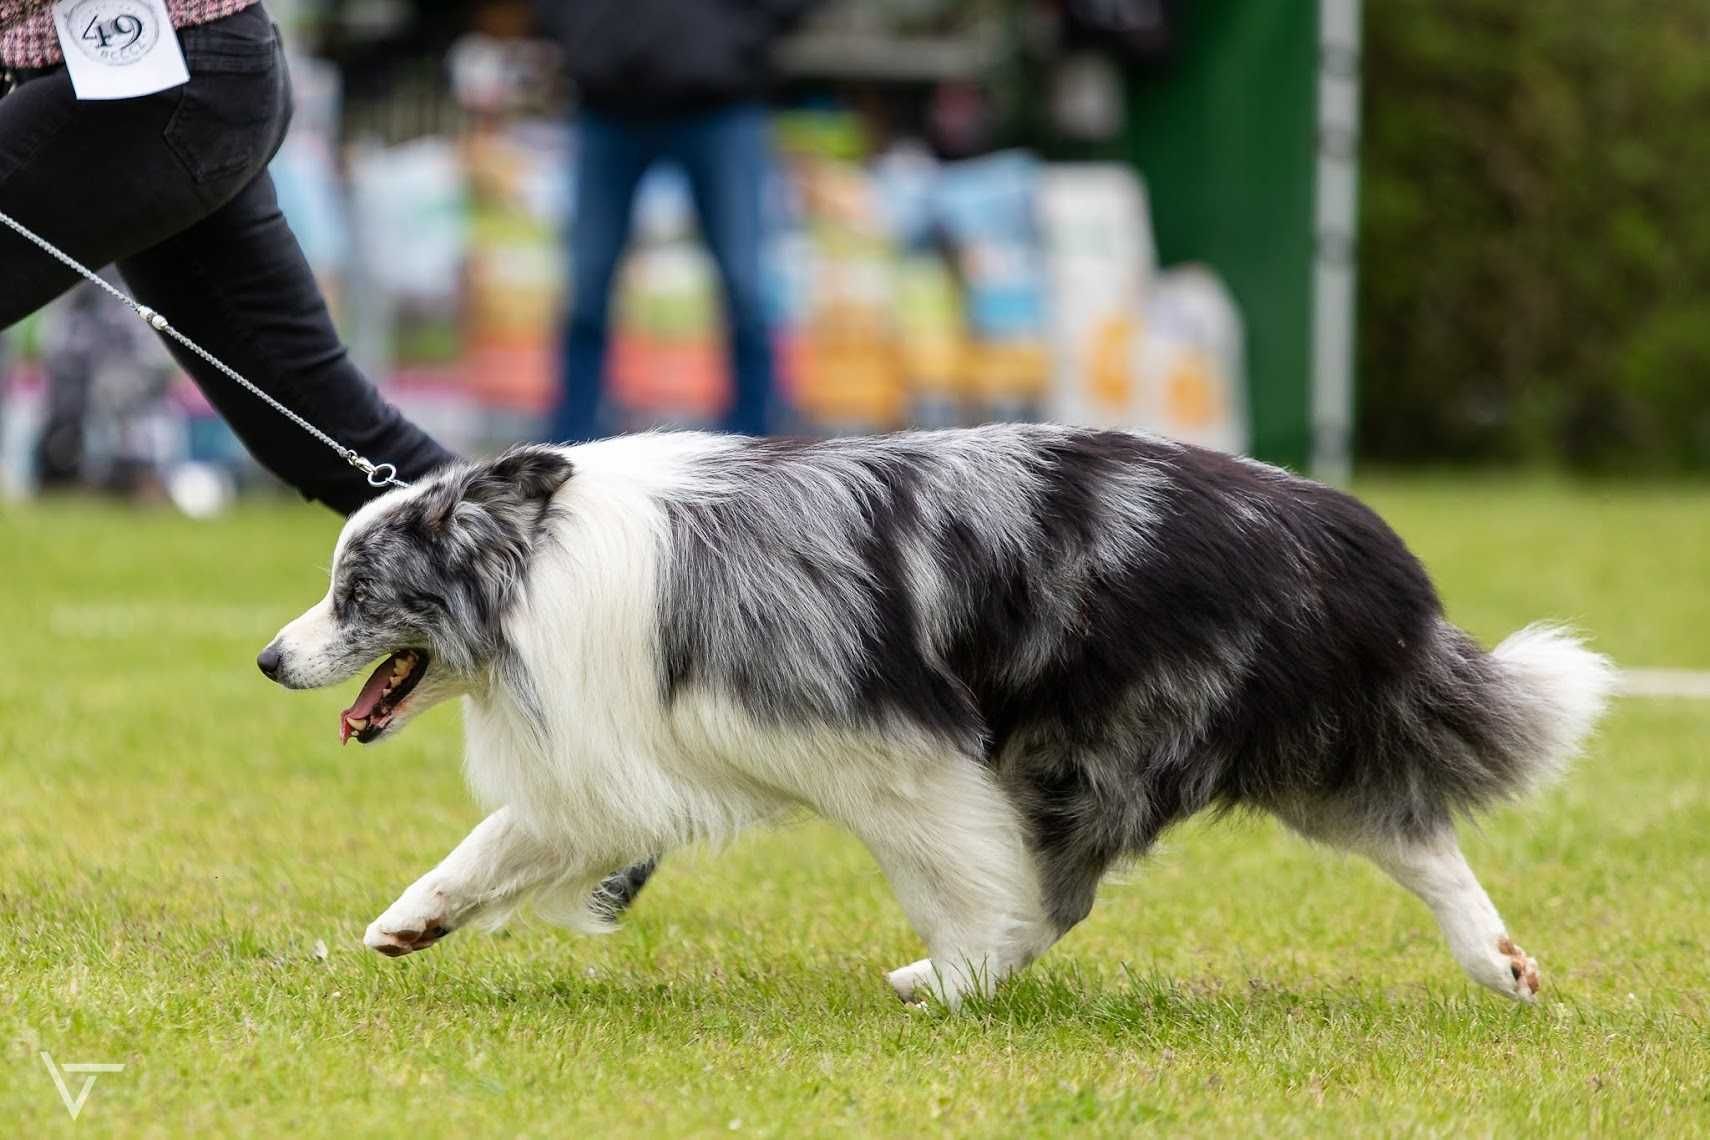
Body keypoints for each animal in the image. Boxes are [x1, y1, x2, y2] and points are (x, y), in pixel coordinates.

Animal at [259, 425, 1607, 1004]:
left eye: (352, 591)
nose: (271, 659)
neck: (541, 569)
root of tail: (1341, 531)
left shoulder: (895, 751)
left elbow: (962, 876)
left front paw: (961, 967)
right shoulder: (626, 743)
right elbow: (508, 838)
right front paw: (414, 919)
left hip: (1094, 744)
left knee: (1062, 896)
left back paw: (941, 984)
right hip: (1288, 745)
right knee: (1413, 834)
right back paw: (1499, 961)